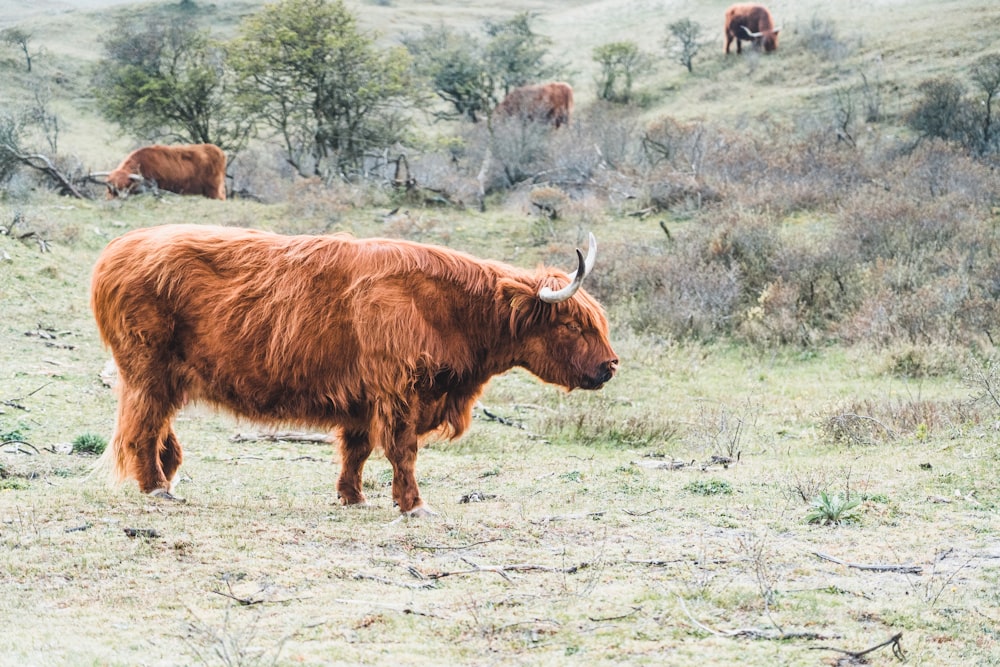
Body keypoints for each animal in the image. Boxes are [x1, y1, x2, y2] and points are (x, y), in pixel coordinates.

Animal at [92, 227, 616, 520]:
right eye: (573, 324)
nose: (610, 365)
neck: (444, 310)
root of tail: (117, 249)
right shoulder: (398, 392)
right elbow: (403, 452)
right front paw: (413, 505)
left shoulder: (362, 399)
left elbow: (357, 450)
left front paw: (352, 497)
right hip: (148, 371)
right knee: (141, 429)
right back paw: (157, 488)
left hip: (163, 378)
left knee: (157, 427)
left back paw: (167, 477)